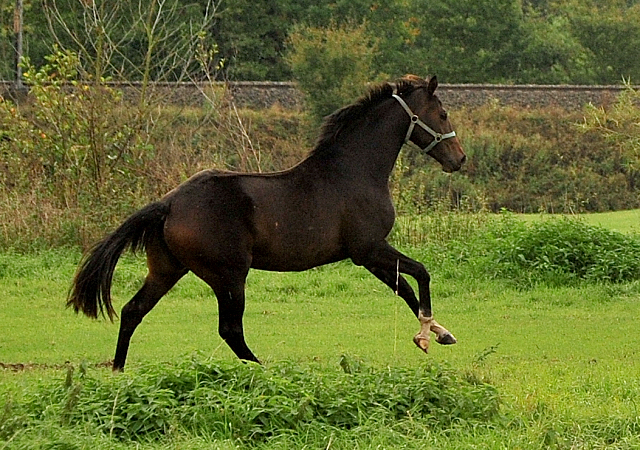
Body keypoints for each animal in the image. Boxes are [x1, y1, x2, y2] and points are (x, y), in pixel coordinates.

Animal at [67, 74, 464, 370]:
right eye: (443, 113)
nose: (459, 159)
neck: (354, 172)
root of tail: (169, 204)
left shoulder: (367, 256)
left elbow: (405, 288)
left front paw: (440, 333)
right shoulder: (369, 248)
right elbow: (421, 274)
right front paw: (427, 334)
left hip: (167, 270)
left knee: (133, 311)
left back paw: (118, 370)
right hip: (228, 274)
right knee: (230, 329)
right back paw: (264, 369)